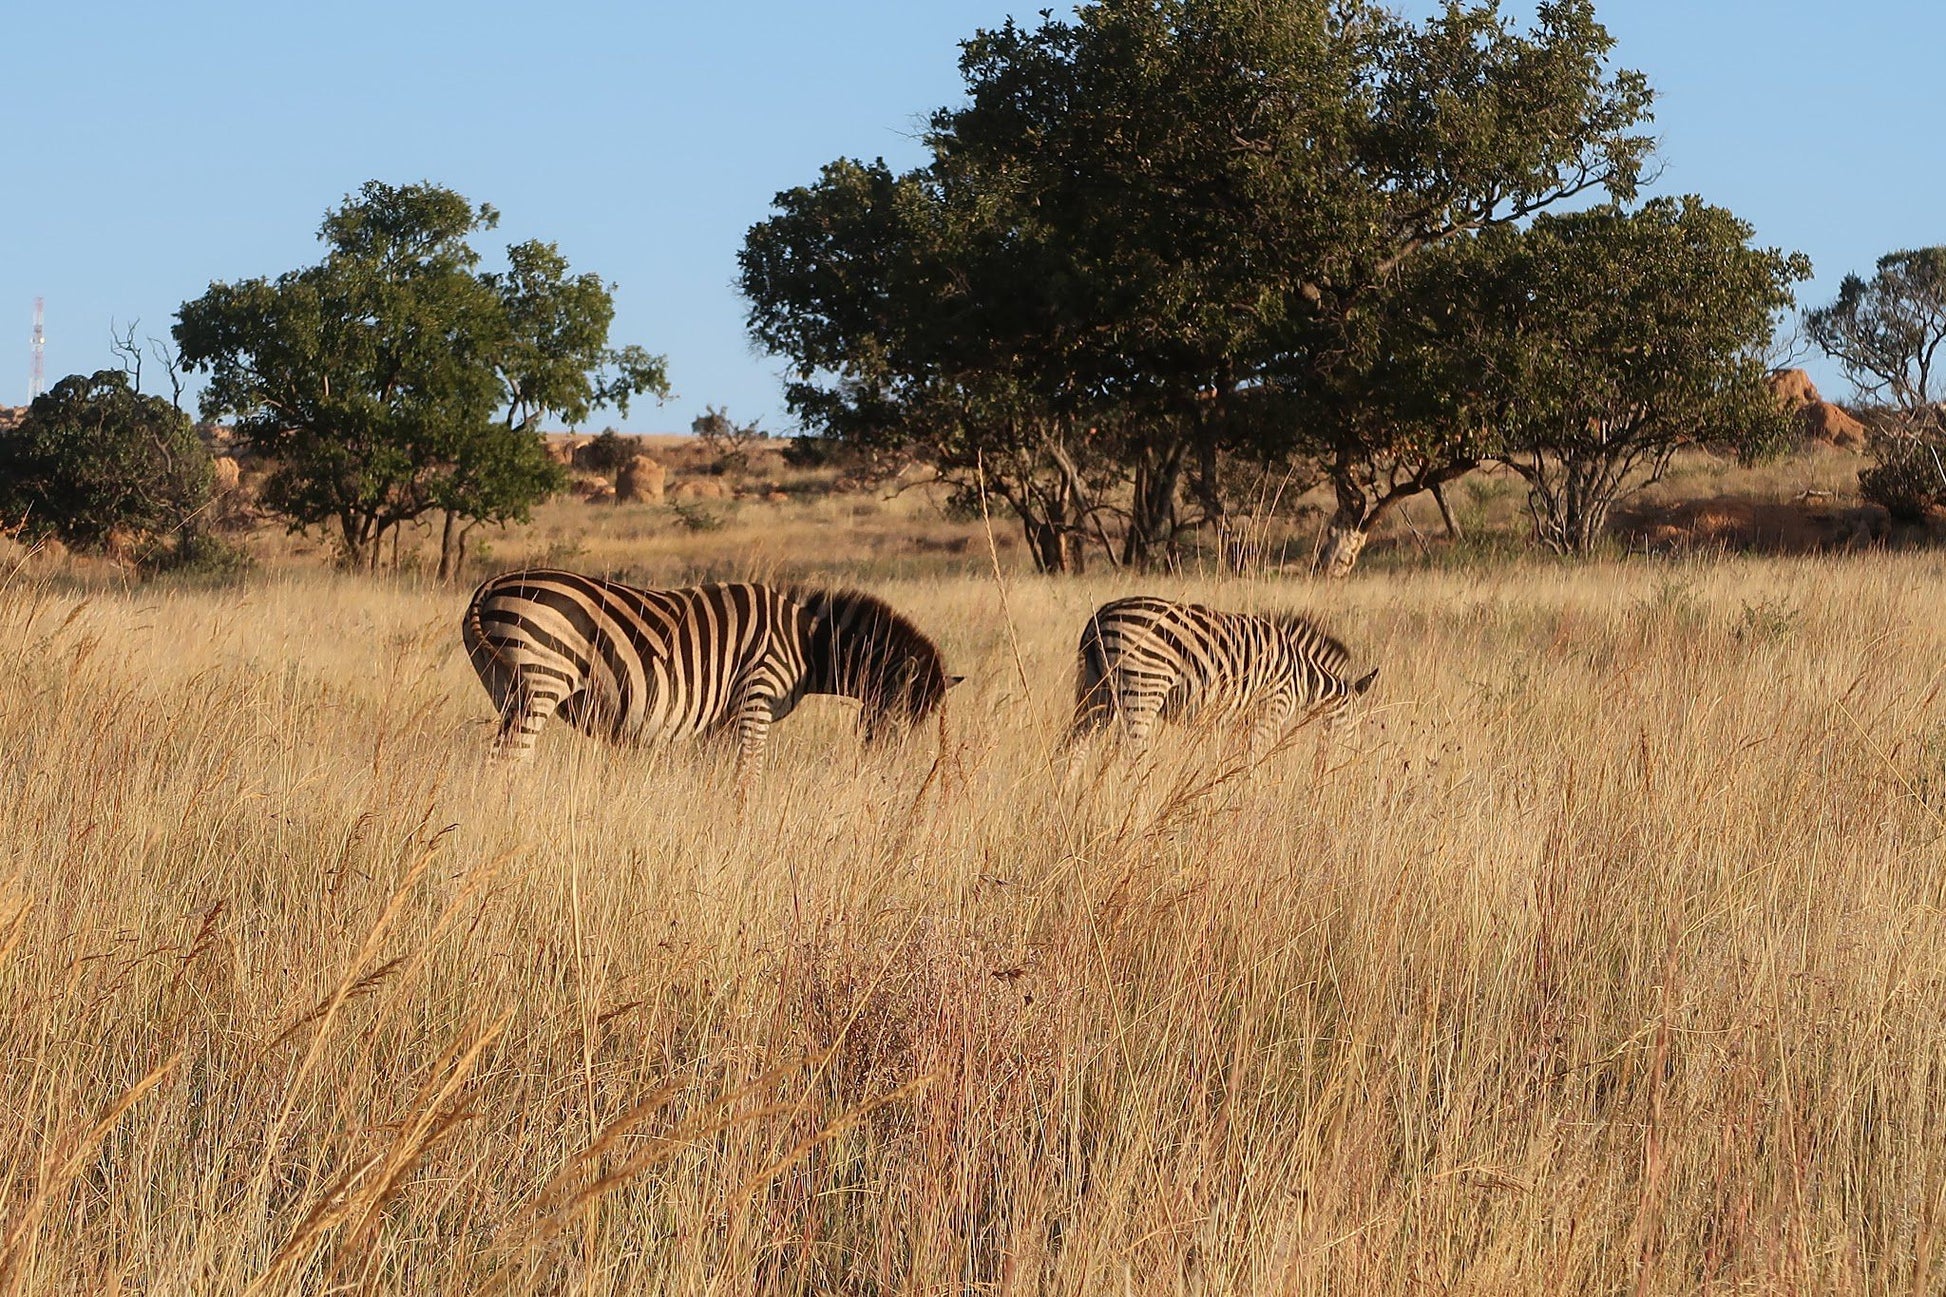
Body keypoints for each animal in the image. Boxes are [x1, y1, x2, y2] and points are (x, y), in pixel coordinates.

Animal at [463, 572, 965, 782]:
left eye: (921, 724)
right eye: (898, 716)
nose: (883, 773)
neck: (805, 643)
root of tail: (491, 586)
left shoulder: (722, 719)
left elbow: (719, 774)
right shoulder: (757, 696)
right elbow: (749, 773)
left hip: (506, 689)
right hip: (540, 683)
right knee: (505, 762)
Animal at [1074, 595, 1377, 759]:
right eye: (1356, 721)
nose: (1356, 756)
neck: (1303, 677)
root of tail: (1100, 616)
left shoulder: (1244, 718)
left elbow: (1234, 757)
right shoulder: (1271, 709)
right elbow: (1253, 757)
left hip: (1095, 691)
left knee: (1074, 746)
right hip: (1144, 686)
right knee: (1130, 753)